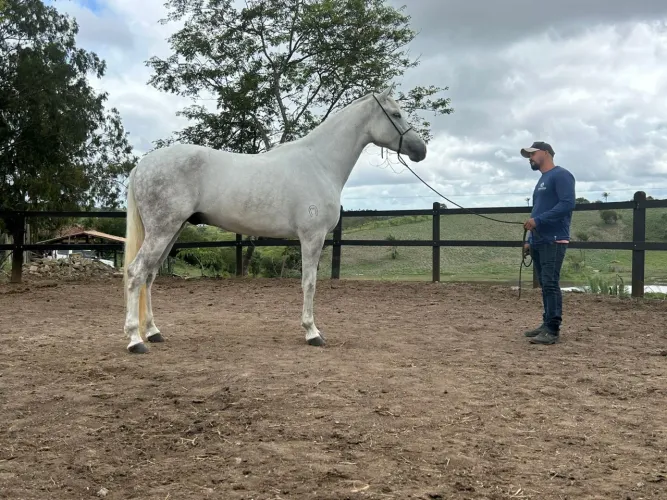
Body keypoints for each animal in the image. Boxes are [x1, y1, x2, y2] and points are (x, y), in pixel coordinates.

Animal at [122, 87, 428, 353]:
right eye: (396, 114)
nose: (421, 150)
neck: (320, 163)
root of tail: (142, 165)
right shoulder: (312, 237)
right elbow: (309, 283)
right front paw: (312, 332)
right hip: (162, 230)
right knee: (136, 273)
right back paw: (135, 340)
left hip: (172, 231)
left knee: (149, 275)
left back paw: (153, 332)